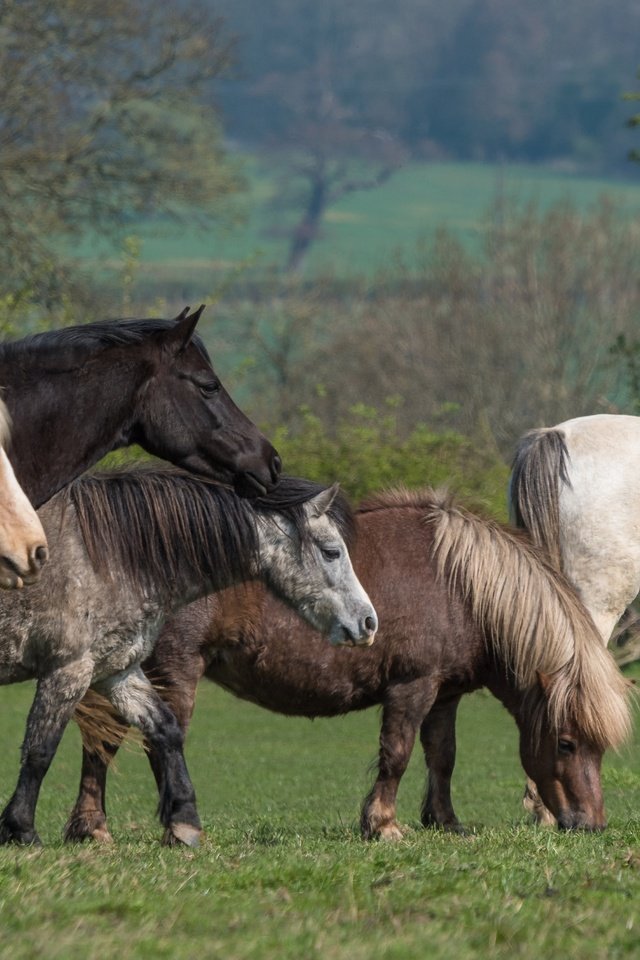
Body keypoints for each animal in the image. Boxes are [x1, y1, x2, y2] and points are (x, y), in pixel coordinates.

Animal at [0, 468, 376, 844]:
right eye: (331, 552)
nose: (369, 623)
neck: (103, 559)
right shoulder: (68, 670)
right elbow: (40, 749)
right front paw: (21, 829)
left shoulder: (116, 672)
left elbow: (166, 730)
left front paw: (184, 822)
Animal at [69, 488, 632, 840]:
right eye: (567, 742)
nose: (591, 824)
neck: (459, 586)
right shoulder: (412, 687)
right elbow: (397, 755)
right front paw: (383, 825)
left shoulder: (444, 694)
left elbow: (442, 756)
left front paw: (445, 822)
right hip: (173, 673)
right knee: (152, 742)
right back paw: (172, 826)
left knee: (103, 743)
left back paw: (92, 827)